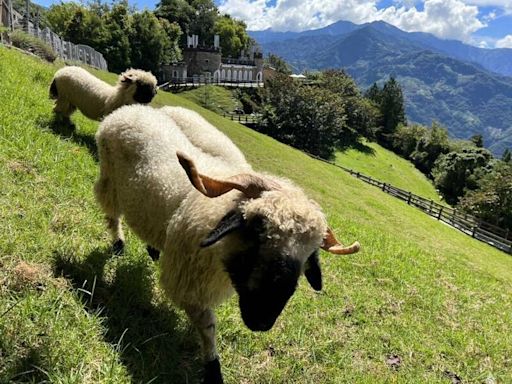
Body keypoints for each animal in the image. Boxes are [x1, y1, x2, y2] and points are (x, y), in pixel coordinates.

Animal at [95, 103, 360, 382]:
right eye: (257, 228)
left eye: (309, 253)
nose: (263, 321)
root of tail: (132, 109)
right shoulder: (188, 283)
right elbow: (208, 327)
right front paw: (213, 368)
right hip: (109, 177)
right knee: (112, 213)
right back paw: (118, 244)